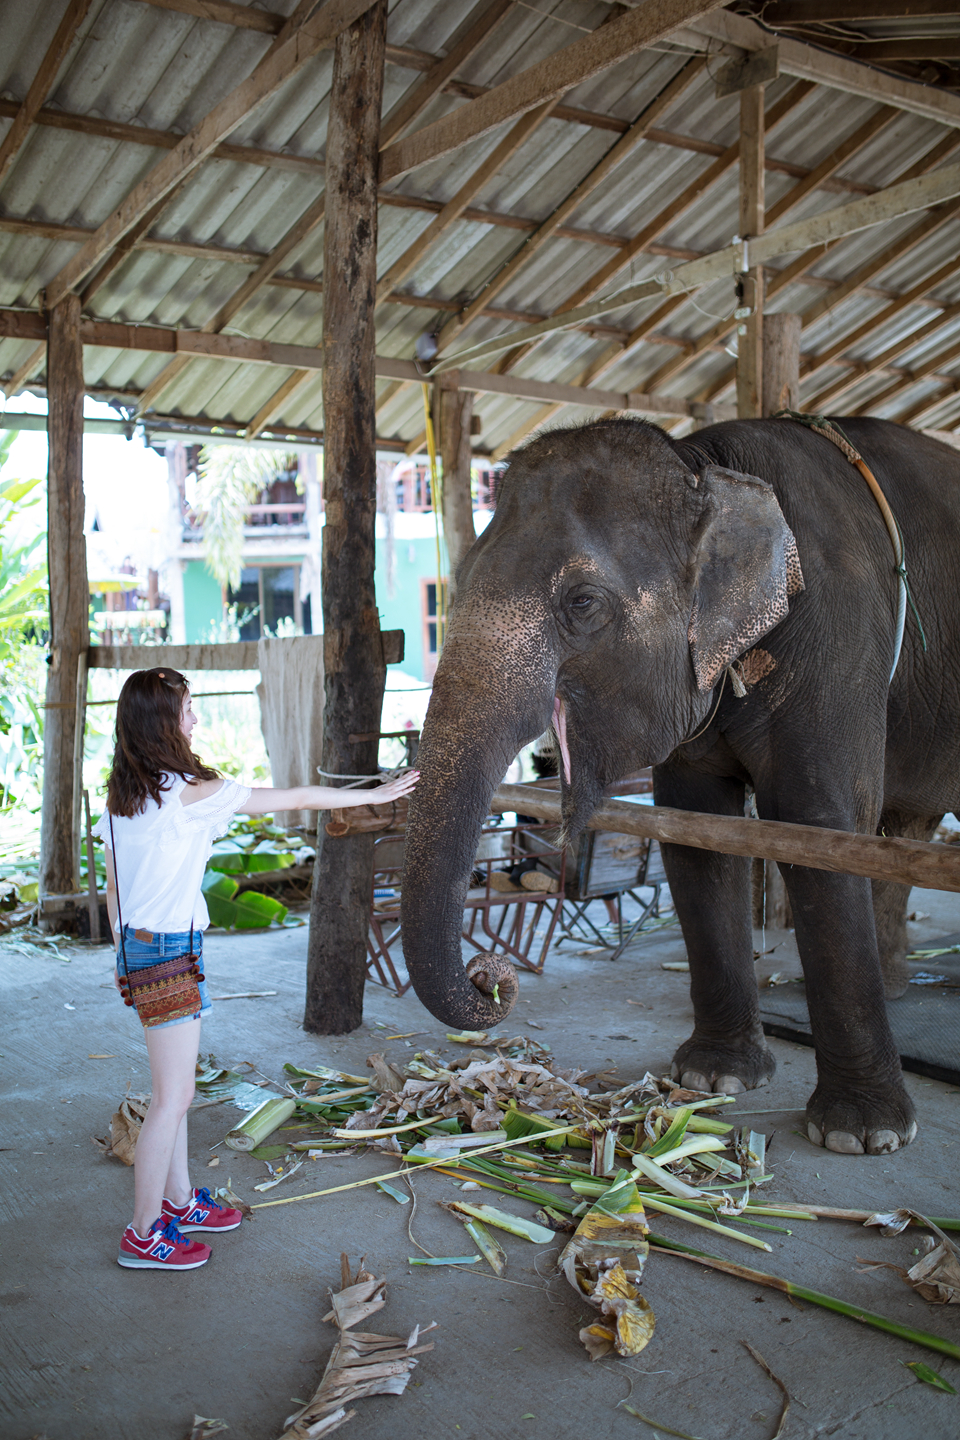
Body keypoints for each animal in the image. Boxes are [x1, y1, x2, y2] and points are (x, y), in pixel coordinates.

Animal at [397, 411, 960, 1152]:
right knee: (906, 830)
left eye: (582, 602)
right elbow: (696, 836)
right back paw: (896, 984)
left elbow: (822, 829)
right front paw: (713, 1078)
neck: (706, 464)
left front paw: (862, 1134)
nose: (489, 977)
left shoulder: (840, 640)